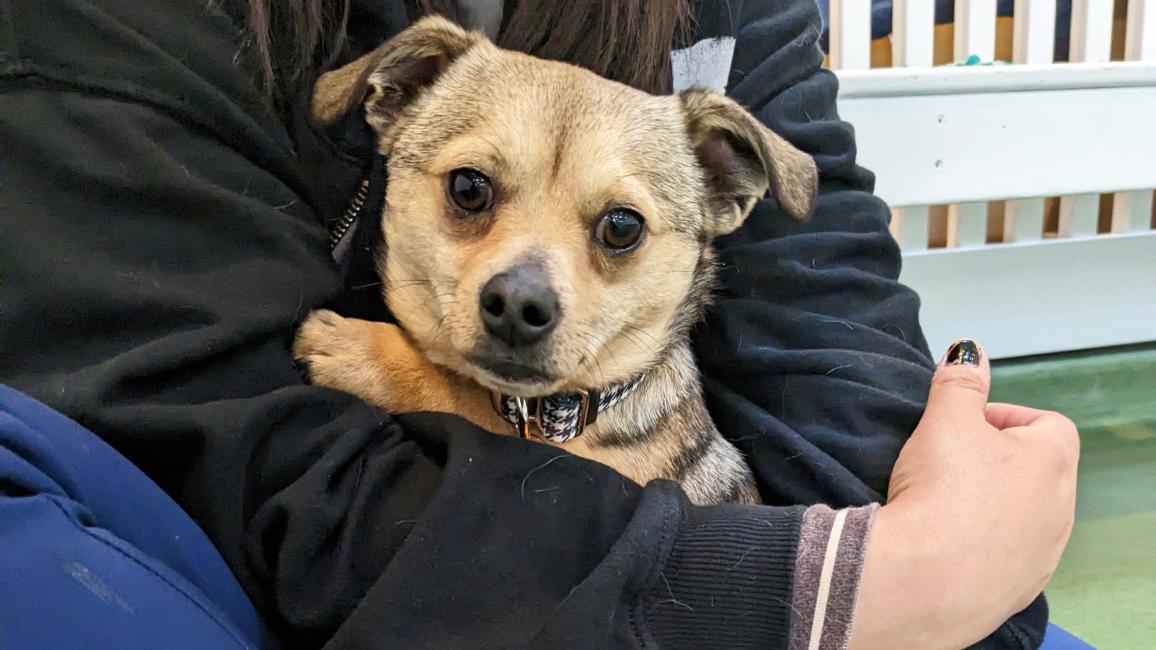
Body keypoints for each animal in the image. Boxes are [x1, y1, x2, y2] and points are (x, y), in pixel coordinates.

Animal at [298, 13, 823, 501]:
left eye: (622, 227)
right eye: (468, 187)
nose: (517, 304)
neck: (554, 414)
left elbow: (468, 399)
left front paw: (367, 353)